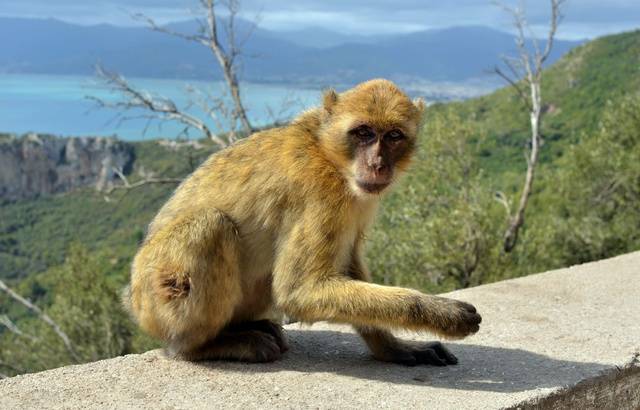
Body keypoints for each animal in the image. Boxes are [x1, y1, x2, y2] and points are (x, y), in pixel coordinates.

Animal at [126, 77, 480, 366]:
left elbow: (346, 265)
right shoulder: (321, 195)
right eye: (364, 133)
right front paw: (440, 313)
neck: (331, 158)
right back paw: (201, 347)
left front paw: (393, 349)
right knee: (212, 226)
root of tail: (132, 300)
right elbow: (301, 289)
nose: (378, 164)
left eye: (394, 136)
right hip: (157, 298)